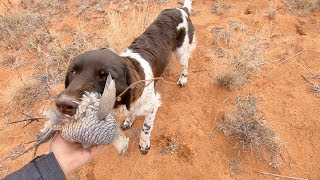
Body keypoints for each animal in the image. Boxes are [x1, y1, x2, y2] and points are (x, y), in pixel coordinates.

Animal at [55, 0, 195, 155]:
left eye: (105, 75)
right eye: (73, 72)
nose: (63, 104)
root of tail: (181, 9)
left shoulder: (153, 106)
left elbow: (145, 129)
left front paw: (144, 145)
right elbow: (130, 112)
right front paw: (129, 120)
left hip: (181, 52)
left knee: (186, 63)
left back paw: (183, 79)